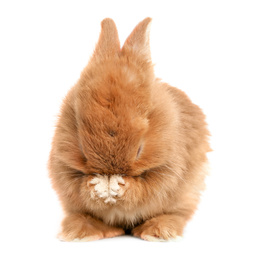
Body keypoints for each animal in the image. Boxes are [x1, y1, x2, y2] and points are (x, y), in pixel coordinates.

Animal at [48, 17, 210, 242]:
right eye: (81, 148)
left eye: (139, 150)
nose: (109, 173)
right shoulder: (61, 166)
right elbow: (78, 188)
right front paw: (97, 186)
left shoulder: (169, 169)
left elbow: (144, 189)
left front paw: (119, 186)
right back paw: (81, 232)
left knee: (175, 214)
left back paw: (157, 231)